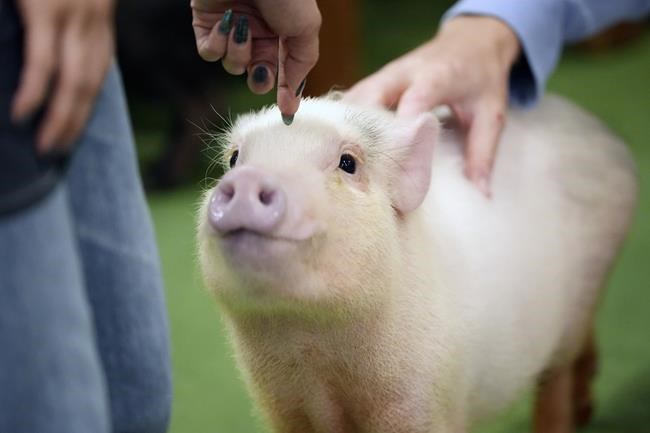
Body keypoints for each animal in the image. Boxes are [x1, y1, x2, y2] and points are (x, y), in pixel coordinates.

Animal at [197, 94, 637, 433]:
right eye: (235, 159)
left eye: (347, 163)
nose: (248, 178)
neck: (314, 350)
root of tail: (605, 136)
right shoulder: (286, 410)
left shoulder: (422, 400)